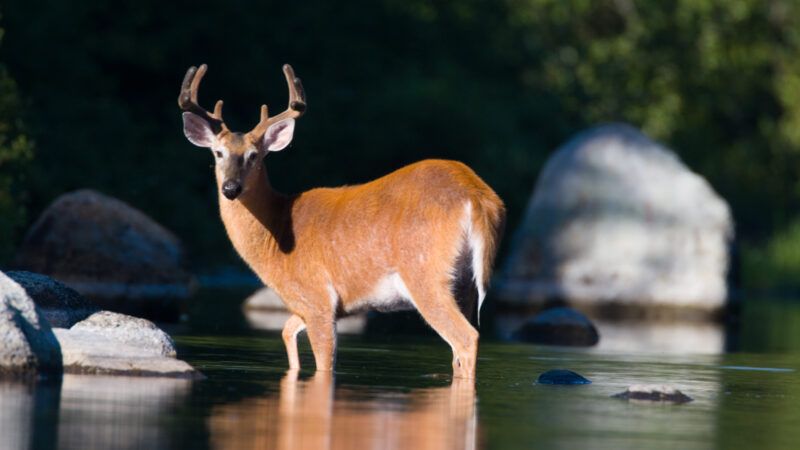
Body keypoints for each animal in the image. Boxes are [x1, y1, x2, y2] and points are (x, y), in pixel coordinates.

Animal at [180, 63, 506, 380]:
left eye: (254, 156)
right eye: (218, 153)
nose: (230, 188)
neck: (276, 234)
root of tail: (476, 197)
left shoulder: (317, 298)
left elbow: (325, 364)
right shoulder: (311, 306)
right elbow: (287, 333)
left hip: (426, 273)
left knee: (466, 339)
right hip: (465, 285)